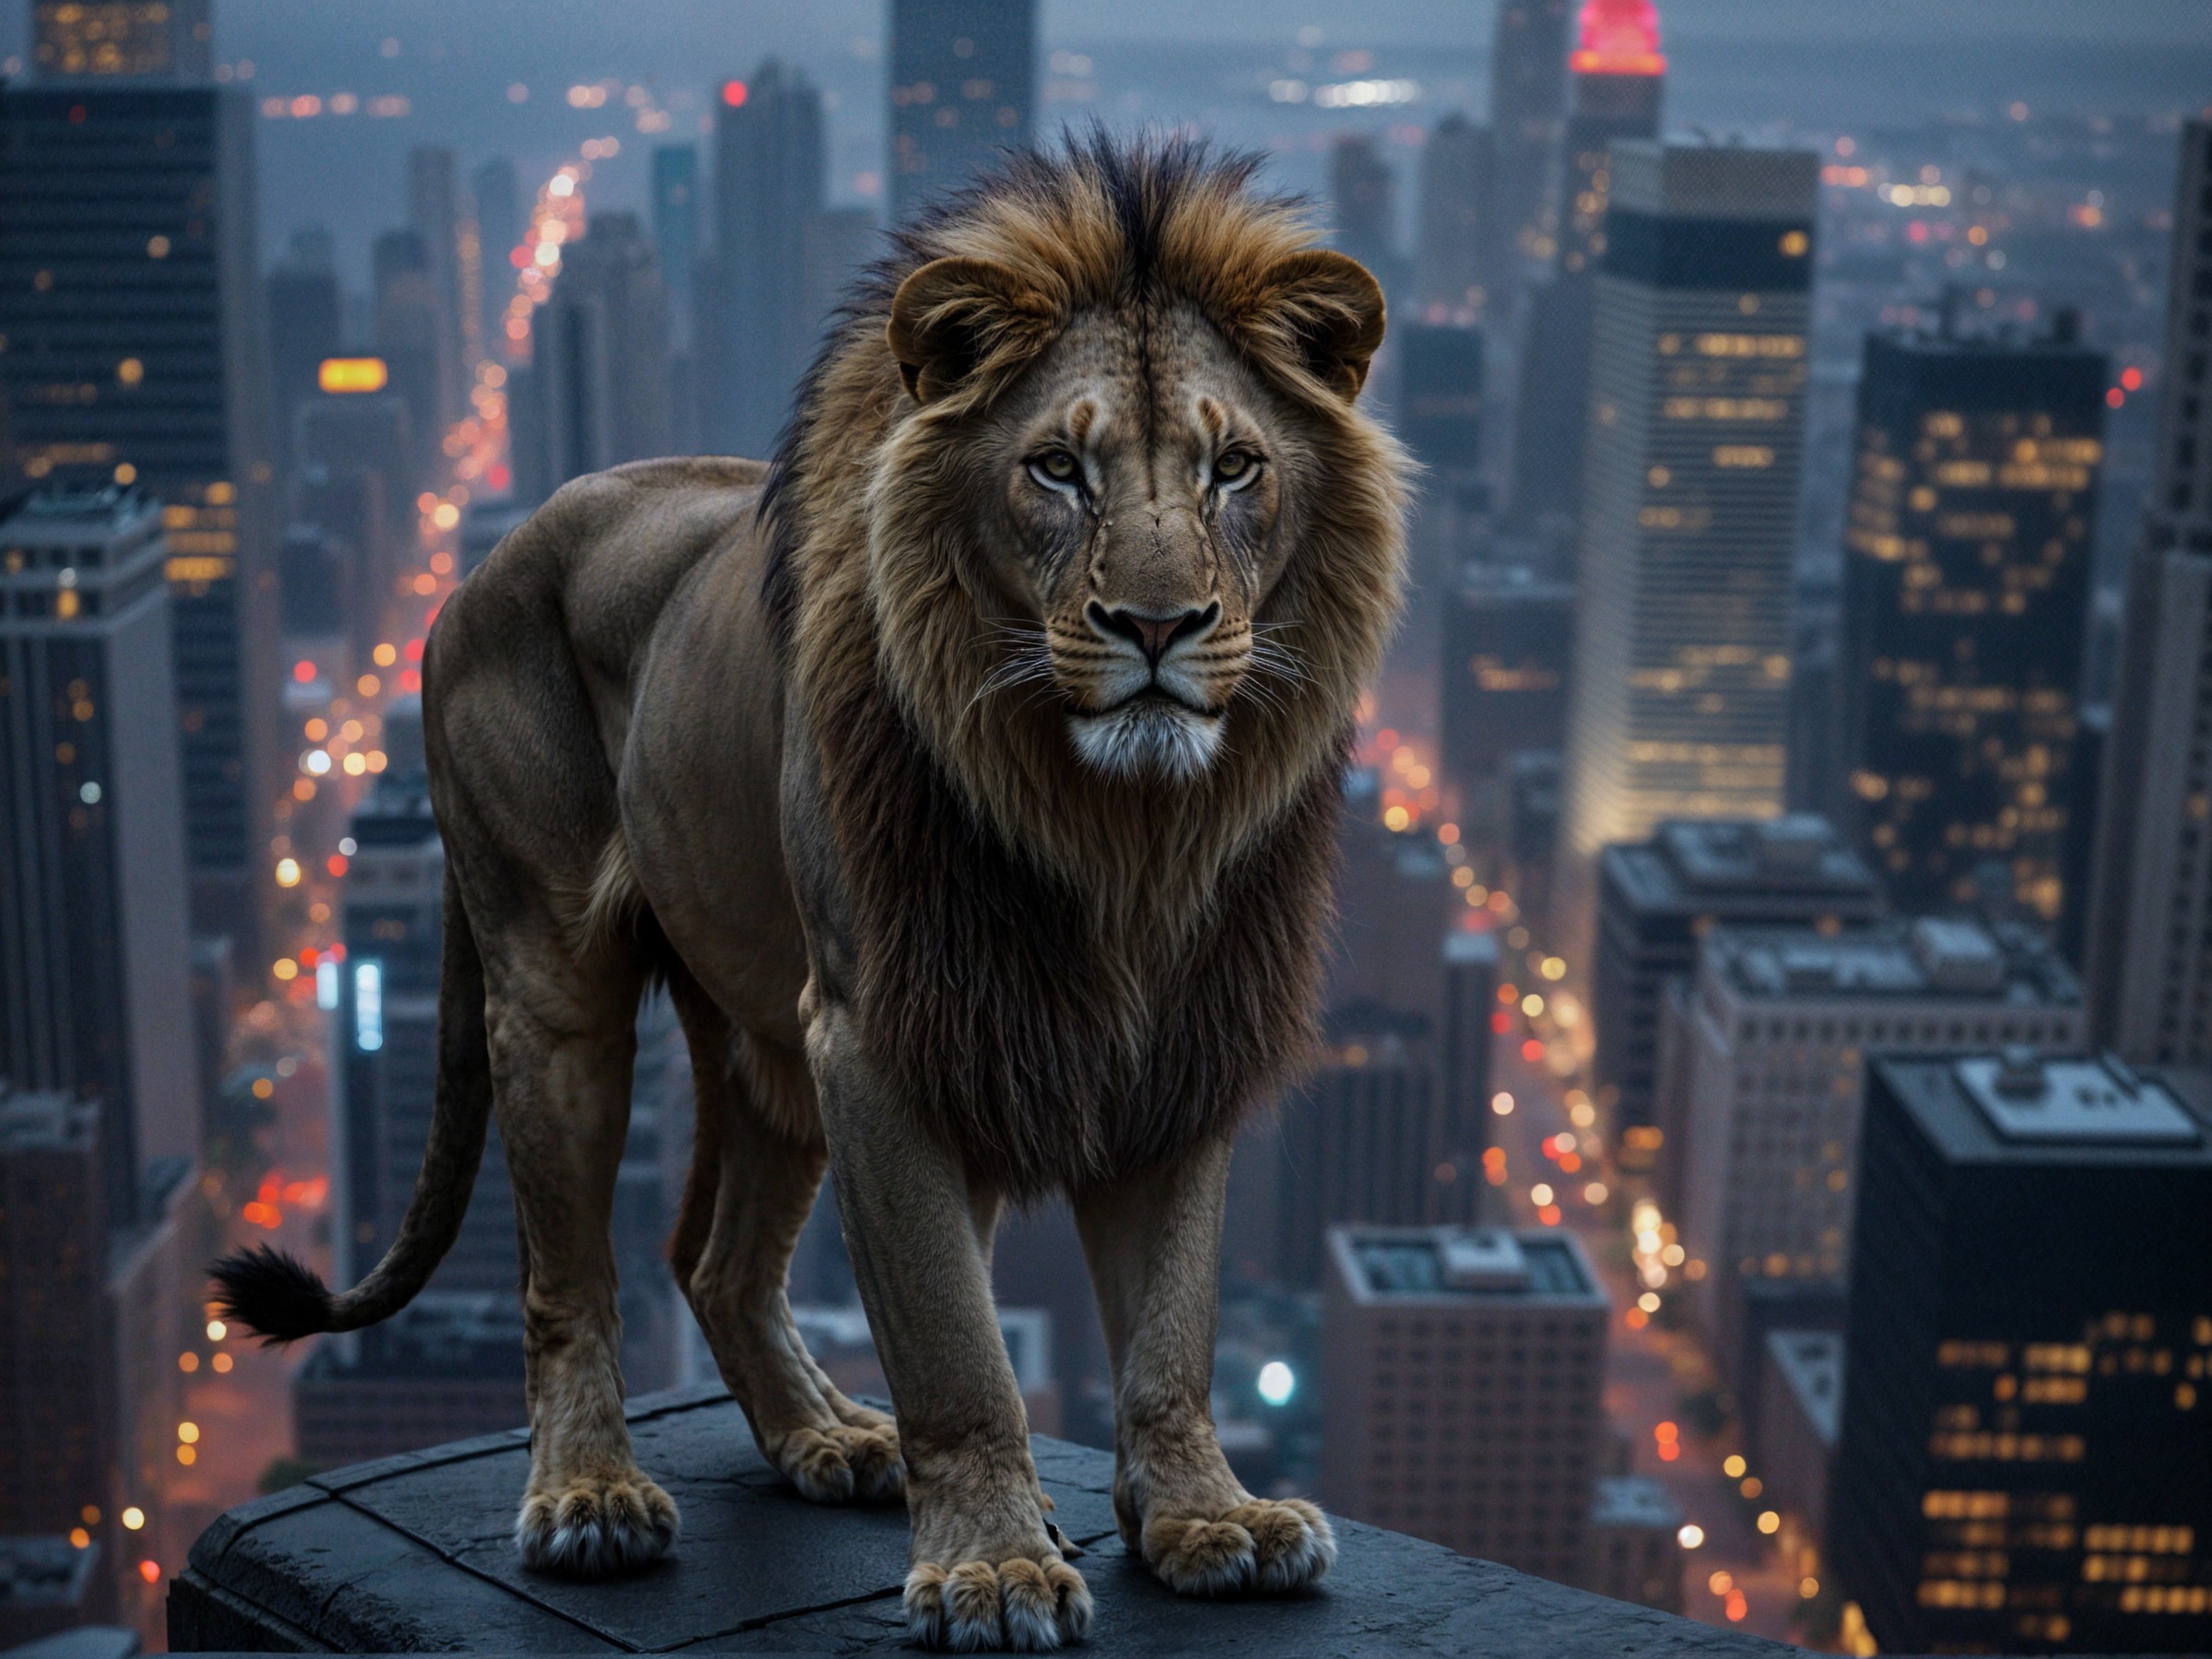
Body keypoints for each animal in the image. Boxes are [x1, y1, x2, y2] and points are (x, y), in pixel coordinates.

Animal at [212, 134, 1408, 1651]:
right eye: (1056, 469)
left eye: (1236, 468)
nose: (1158, 626)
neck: (1115, 827)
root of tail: (498, 548)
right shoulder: (881, 1036)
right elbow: (956, 1348)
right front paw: (992, 1567)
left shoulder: (1176, 1037)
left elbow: (1172, 1324)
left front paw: (1206, 1518)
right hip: (560, 991)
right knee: (569, 1274)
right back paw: (590, 1496)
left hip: (770, 1040)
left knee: (715, 1262)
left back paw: (829, 1439)